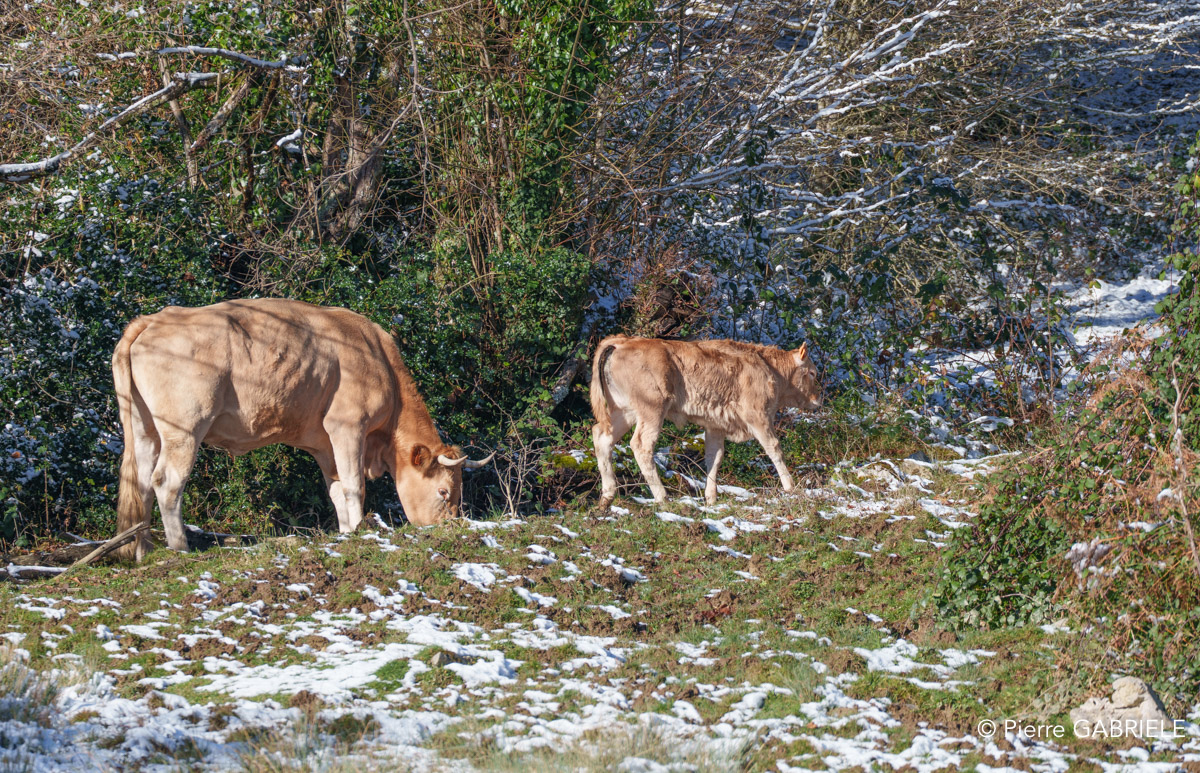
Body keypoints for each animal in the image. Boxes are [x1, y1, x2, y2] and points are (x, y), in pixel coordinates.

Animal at [111, 298, 492, 560]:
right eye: (444, 492)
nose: (446, 529)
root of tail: (155, 318)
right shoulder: (348, 426)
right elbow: (354, 486)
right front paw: (359, 529)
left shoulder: (324, 444)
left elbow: (336, 490)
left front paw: (346, 532)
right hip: (185, 429)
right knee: (166, 482)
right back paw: (180, 548)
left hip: (143, 427)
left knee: (140, 481)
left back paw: (143, 550)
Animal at [589, 335, 822, 508]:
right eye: (812, 373)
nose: (818, 400)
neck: (770, 368)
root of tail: (622, 341)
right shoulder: (758, 416)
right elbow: (774, 448)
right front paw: (790, 486)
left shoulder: (716, 426)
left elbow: (714, 457)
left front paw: (711, 498)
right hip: (652, 409)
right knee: (641, 445)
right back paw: (663, 497)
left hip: (624, 412)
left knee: (602, 437)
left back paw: (607, 497)